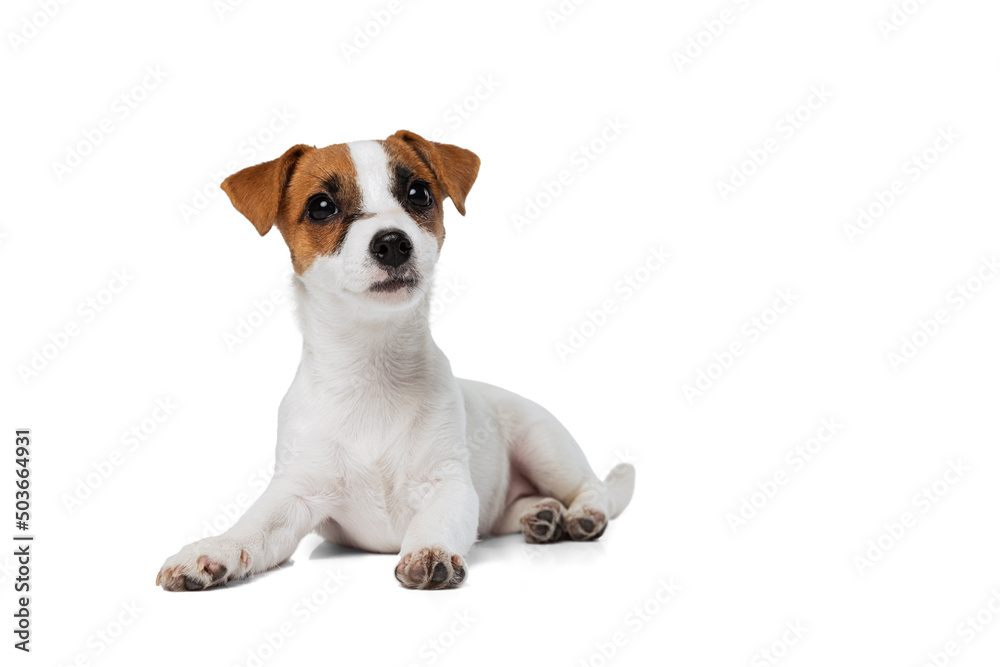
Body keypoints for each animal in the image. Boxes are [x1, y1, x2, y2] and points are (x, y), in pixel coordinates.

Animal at [156, 130, 636, 588]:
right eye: (321, 206)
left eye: (419, 193)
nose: (392, 243)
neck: (372, 368)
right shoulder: (296, 493)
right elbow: (253, 528)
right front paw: (213, 550)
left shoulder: (449, 485)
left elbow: (436, 519)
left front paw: (429, 550)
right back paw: (541, 515)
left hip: (545, 446)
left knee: (596, 489)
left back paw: (582, 514)